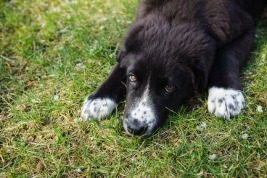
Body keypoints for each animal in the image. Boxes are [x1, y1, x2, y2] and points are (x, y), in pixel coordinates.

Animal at [80, 0, 266, 136]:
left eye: (169, 87)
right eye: (132, 77)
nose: (135, 129)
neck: (178, 15)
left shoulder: (246, 27)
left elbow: (226, 55)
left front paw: (225, 94)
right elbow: (119, 66)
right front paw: (99, 99)